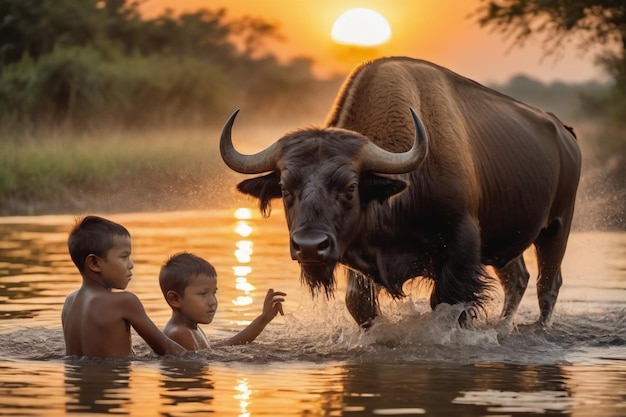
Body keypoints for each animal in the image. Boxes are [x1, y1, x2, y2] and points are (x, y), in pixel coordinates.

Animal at [219, 56, 580, 328]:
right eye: (284, 186)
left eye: (350, 187)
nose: (309, 246)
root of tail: (566, 134)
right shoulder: (358, 257)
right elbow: (359, 304)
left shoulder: (462, 248)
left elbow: (448, 305)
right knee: (517, 279)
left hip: (556, 228)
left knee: (548, 285)